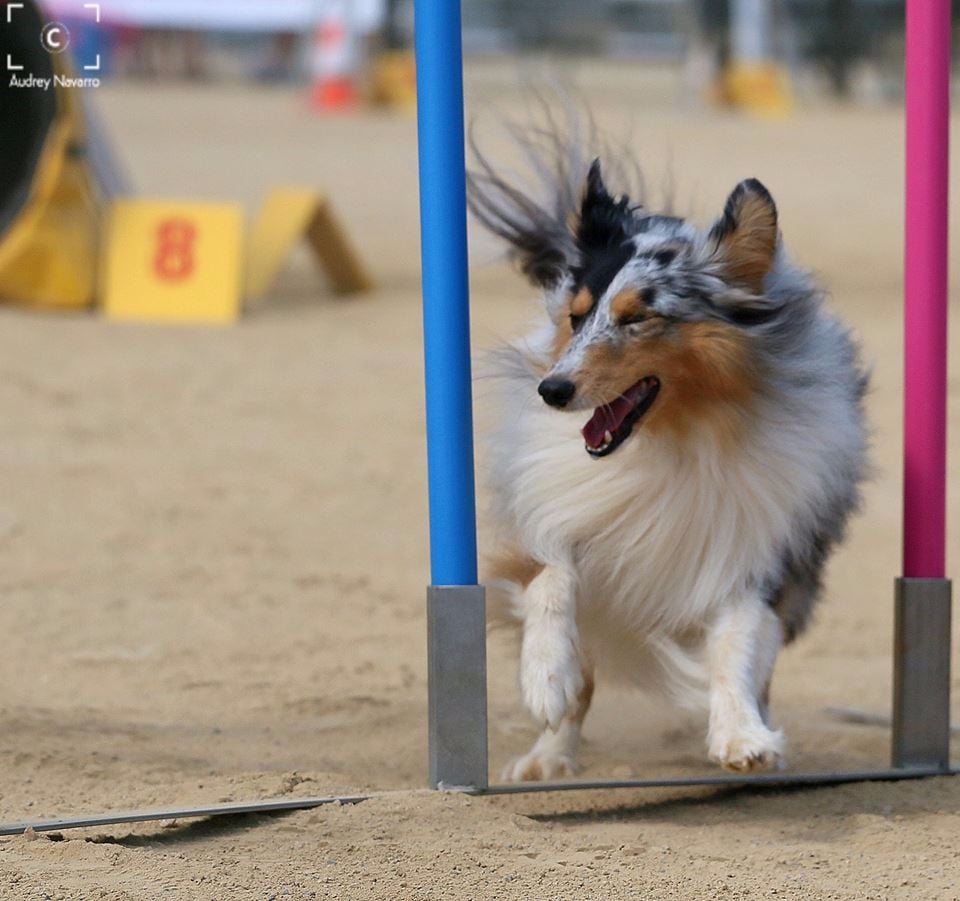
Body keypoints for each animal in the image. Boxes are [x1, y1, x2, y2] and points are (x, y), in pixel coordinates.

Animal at [470, 132, 872, 780]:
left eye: (638, 317)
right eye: (576, 316)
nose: (551, 390)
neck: (674, 439)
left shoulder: (756, 556)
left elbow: (737, 646)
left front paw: (742, 737)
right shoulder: (557, 518)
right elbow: (551, 579)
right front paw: (546, 681)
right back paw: (547, 757)